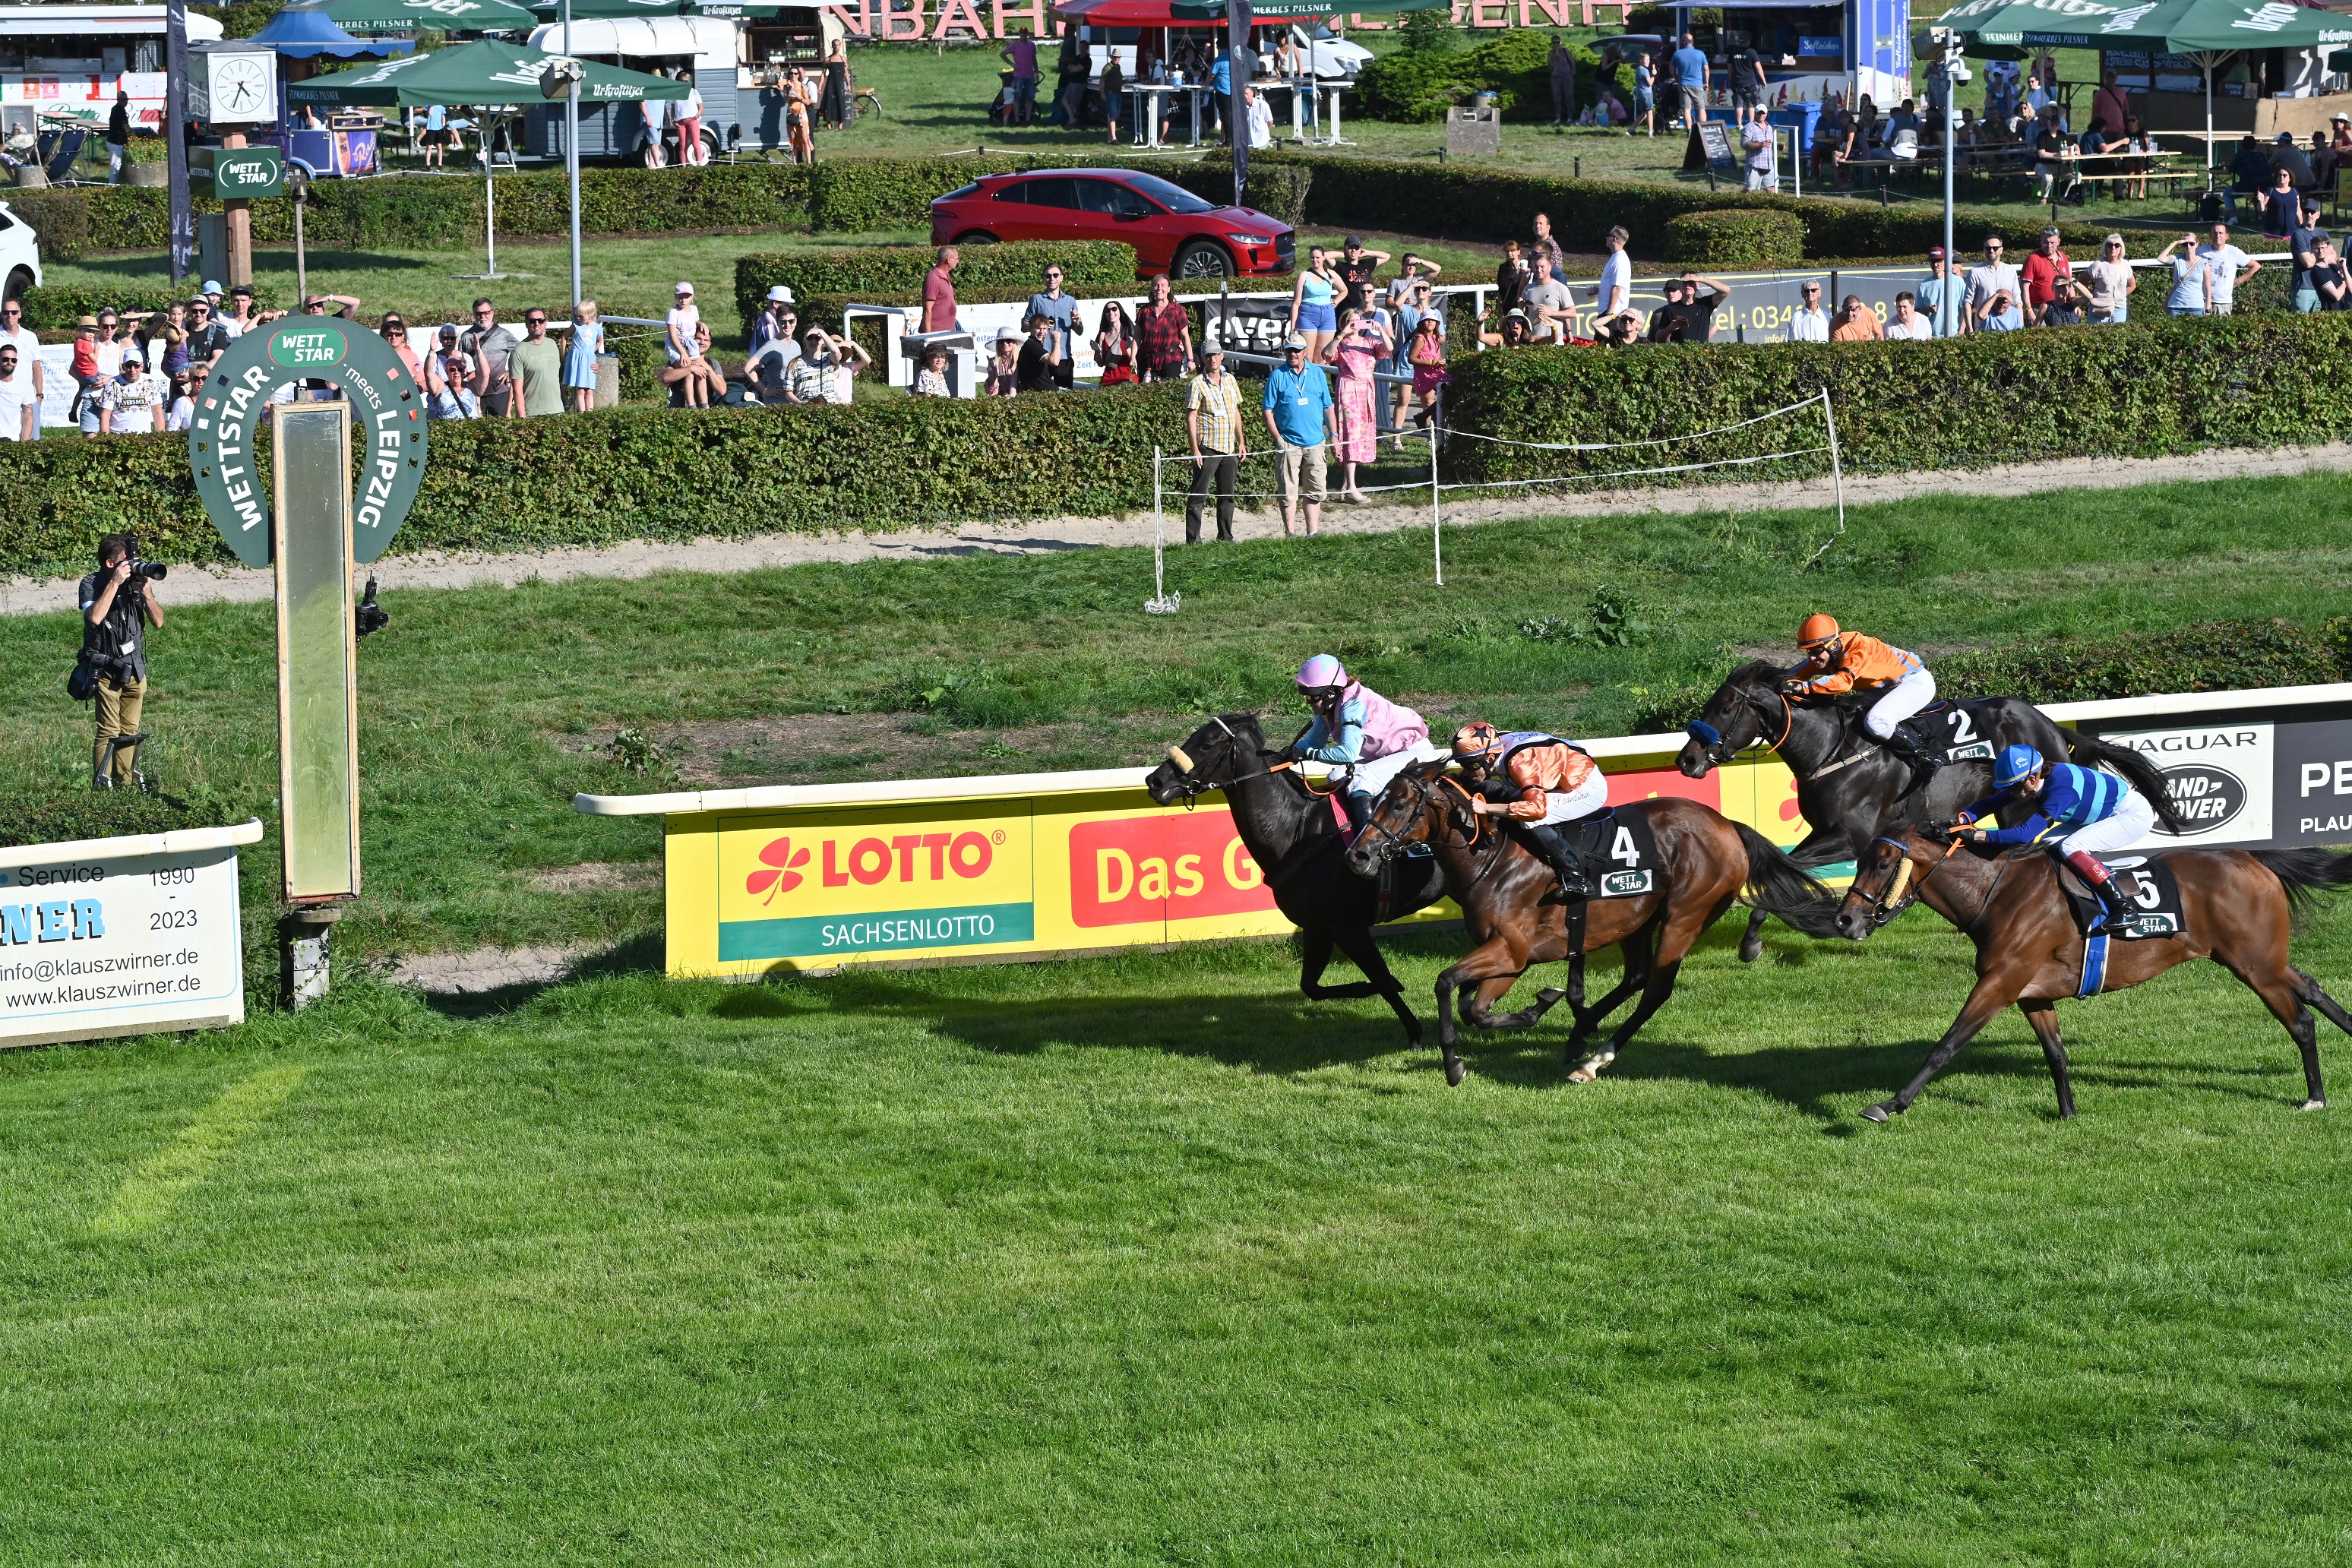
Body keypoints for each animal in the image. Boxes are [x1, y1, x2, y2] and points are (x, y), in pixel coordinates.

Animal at [1143, 719, 1449, 1048]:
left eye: (1206, 744)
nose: (1154, 781)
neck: (1298, 830)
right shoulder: (1318, 926)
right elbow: (1311, 986)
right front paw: (1371, 989)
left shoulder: (1348, 927)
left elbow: (1381, 978)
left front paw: (1414, 1031)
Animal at [1345, 761, 1834, 1086]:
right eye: (1377, 800)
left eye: (1401, 804)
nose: (1358, 855)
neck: (1493, 858)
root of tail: (1727, 826)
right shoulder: (1505, 957)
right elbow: (1473, 1008)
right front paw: (1540, 1007)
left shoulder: (1513, 952)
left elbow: (1448, 984)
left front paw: (1455, 1065)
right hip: (1638, 921)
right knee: (1636, 977)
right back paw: (1579, 1036)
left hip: (1686, 915)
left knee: (1655, 989)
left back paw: (1594, 1059)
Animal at [1674, 658, 2183, 963]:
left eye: (1725, 708)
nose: (1687, 760)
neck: (1829, 749)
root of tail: (2049, 723)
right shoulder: (1829, 832)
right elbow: (1788, 865)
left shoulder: (1851, 837)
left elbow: (1783, 871)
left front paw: (1752, 943)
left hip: (2021, 805)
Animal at [1834, 827, 2352, 1124]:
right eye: (1858, 862)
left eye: (1882, 863)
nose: (1844, 919)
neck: (1994, 893)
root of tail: (2252, 858)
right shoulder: (2031, 993)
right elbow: (2057, 1054)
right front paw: (2067, 1113)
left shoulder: (2000, 982)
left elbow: (1946, 1046)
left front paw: (1890, 1105)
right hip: (2259, 959)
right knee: (2312, 988)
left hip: (2256, 964)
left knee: (2300, 1021)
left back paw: (2315, 1098)